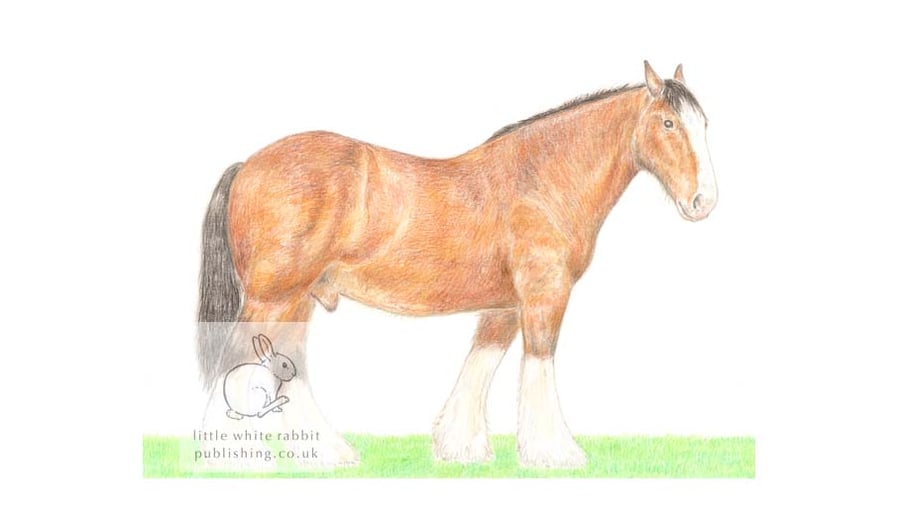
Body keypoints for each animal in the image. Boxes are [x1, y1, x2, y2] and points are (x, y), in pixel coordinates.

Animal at [197, 61, 717, 469]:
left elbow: (480, 364)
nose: (703, 202)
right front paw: (555, 453)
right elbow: (539, 365)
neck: (541, 179)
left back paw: (329, 454)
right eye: (669, 123)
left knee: (289, 363)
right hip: (272, 297)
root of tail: (247, 165)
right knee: (236, 358)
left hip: (297, 299)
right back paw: (236, 458)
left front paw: (460, 447)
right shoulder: (544, 295)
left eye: (704, 124)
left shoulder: (504, 307)